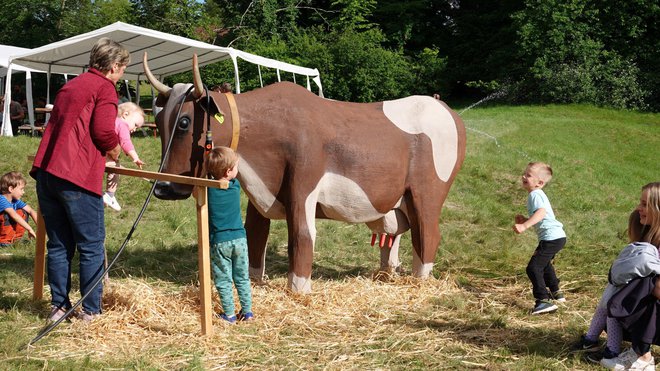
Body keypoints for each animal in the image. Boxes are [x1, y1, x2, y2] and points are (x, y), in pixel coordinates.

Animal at [144, 54, 464, 294]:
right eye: (158, 122)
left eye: (185, 122)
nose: (162, 189)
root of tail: (448, 110)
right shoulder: (259, 190)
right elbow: (255, 233)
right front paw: (254, 279)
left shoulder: (303, 181)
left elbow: (302, 234)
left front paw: (299, 288)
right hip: (397, 200)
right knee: (394, 233)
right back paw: (386, 273)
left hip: (427, 194)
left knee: (427, 234)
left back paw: (420, 280)